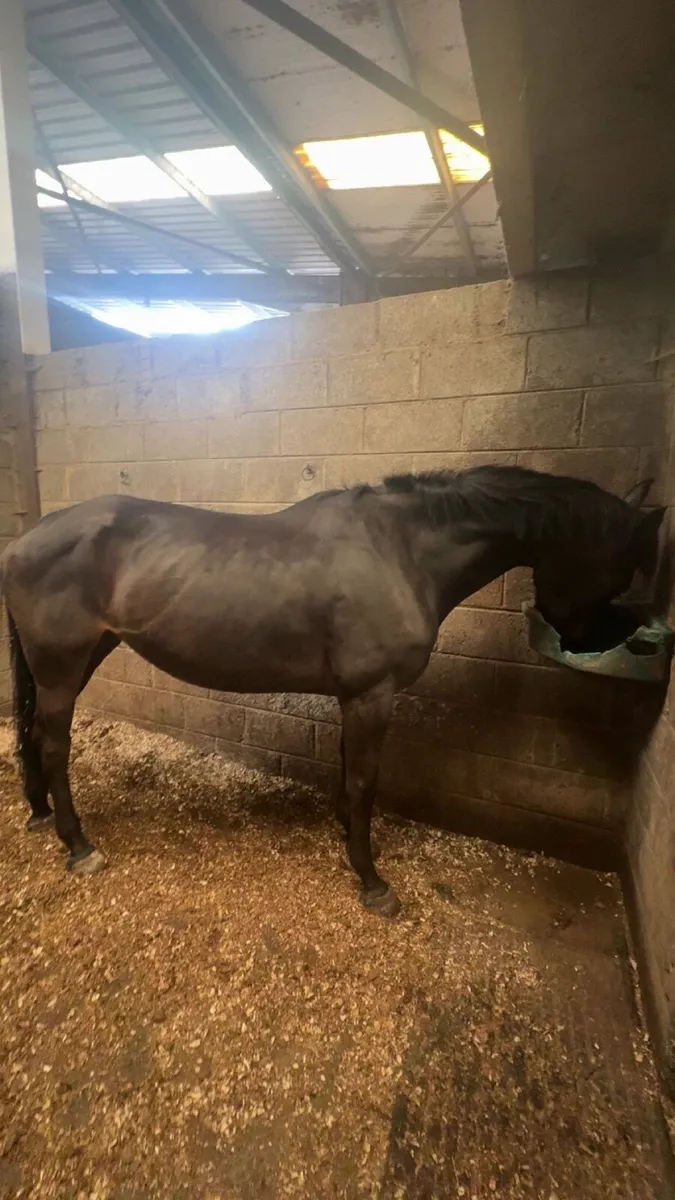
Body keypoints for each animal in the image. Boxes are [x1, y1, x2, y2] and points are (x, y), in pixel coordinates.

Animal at [1, 466, 664, 917]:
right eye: (621, 573)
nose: (586, 646)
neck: (401, 550)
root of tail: (24, 542)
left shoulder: (356, 696)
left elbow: (349, 773)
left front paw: (347, 839)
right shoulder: (373, 694)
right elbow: (366, 780)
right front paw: (373, 883)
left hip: (78, 660)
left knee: (32, 736)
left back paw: (40, 815)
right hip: (62, 668)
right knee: (55, 746)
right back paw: (79, 845)